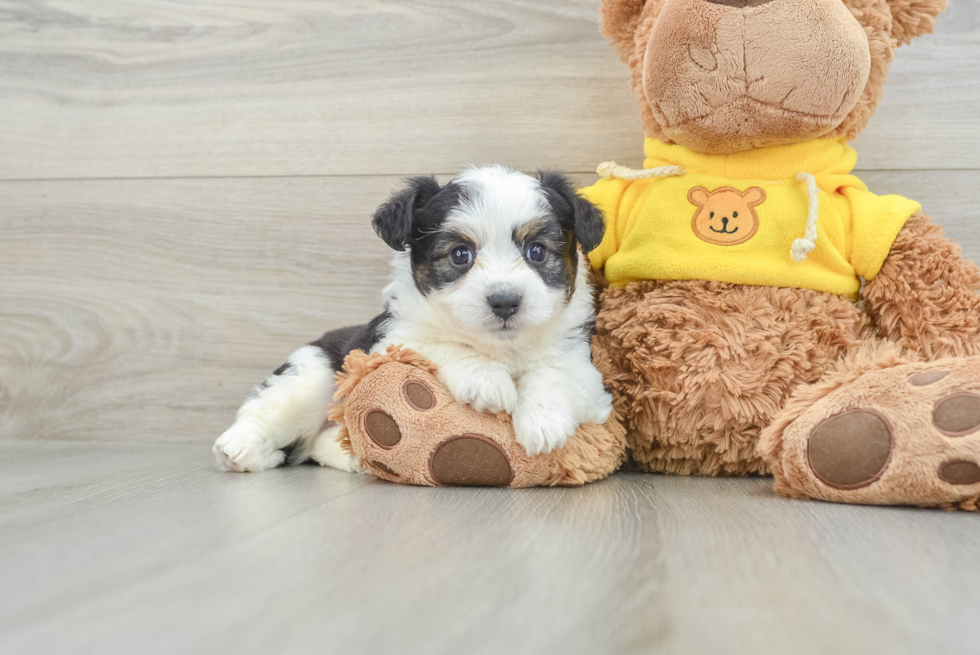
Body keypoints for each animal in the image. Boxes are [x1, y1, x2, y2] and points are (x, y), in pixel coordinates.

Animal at [214, 164, 612, 472]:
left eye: (537, 251)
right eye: (460, 254)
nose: (505, 301)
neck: (500, 347)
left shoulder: (582, 367)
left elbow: (552, 374)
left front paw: (543, 424)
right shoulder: (394, 340)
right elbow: (444, 344)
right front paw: (487, 381)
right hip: (312, 374)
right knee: (267, 412)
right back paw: (240, 449)